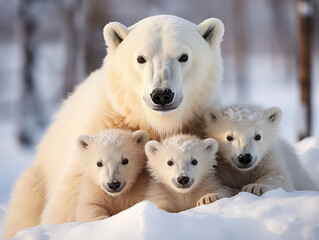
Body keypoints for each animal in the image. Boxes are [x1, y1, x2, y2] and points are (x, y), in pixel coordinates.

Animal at [4, 15, 225, 238]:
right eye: (140, 58)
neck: (157, 123)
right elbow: (65, 207)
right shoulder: (104, 125)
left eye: (183, 56)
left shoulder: (196, 123)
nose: (162, 94)